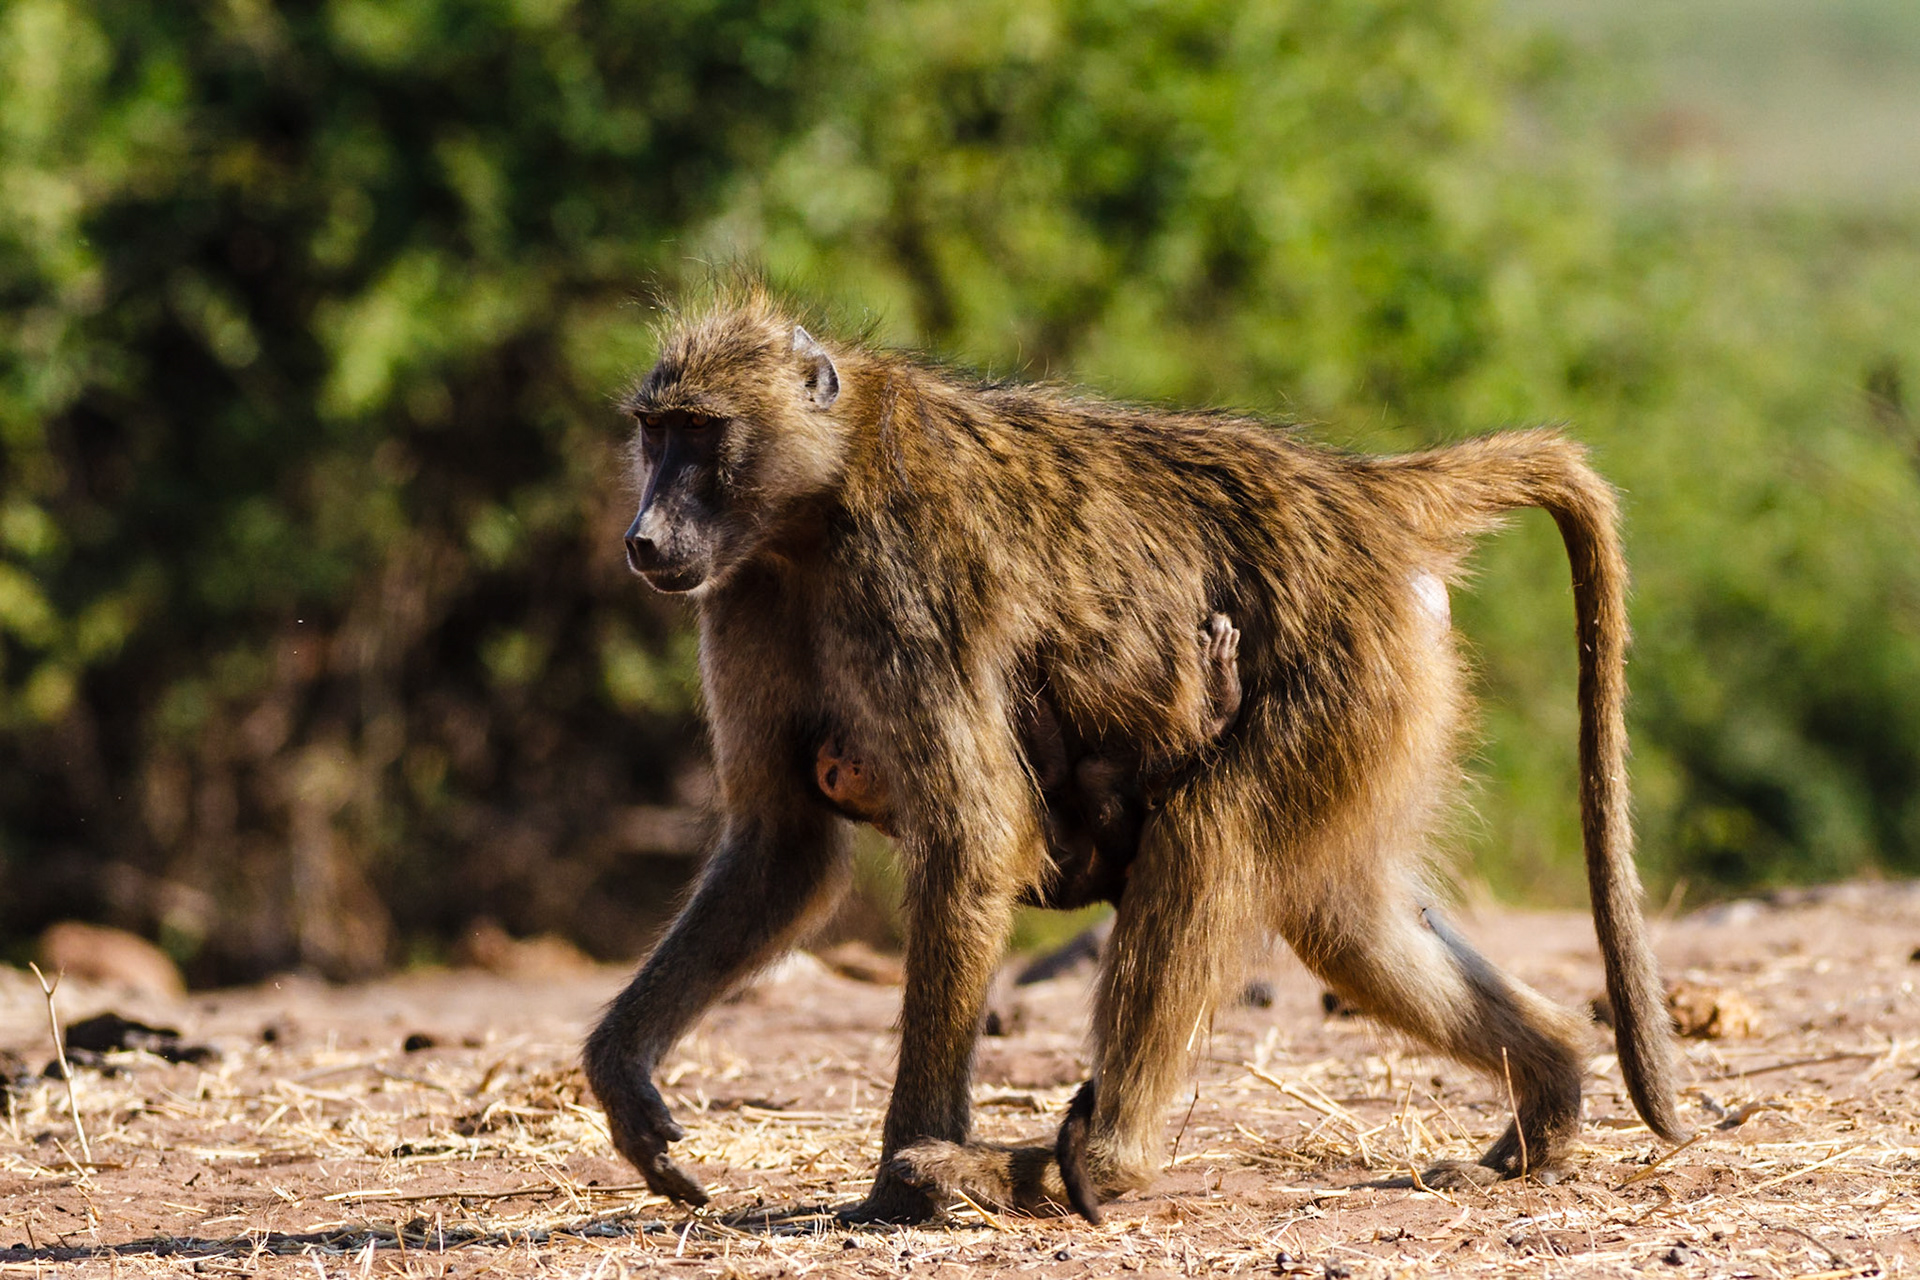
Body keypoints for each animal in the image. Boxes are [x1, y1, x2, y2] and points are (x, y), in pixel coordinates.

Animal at [816, 612, 1243, 911]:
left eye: (838, 750)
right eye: (833, 775)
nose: (847, 759)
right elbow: (1050, 776)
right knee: (1095, 779)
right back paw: (1217, 710)